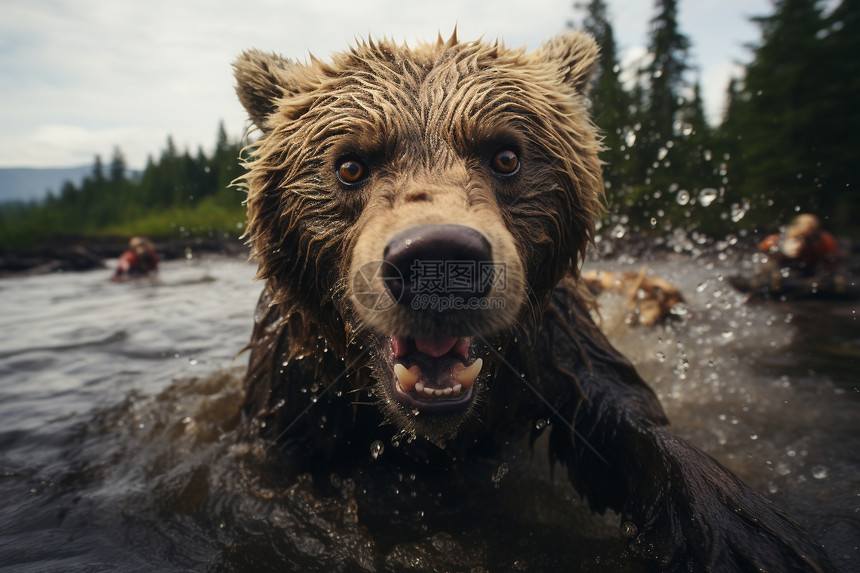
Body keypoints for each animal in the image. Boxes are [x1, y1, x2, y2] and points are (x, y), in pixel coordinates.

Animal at [233, 32, 832, 572]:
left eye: (505, 155)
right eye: (350, 164)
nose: (439, 259)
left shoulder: (556, 353)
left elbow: (630, 423)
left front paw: (744, 537)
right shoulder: (294, 390)